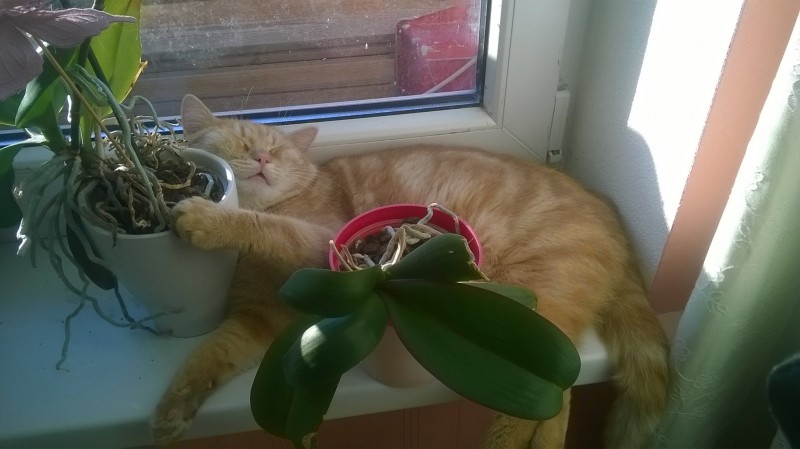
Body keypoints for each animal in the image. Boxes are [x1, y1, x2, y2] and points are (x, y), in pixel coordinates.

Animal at [152, 94, 669, 448]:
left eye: (277, 152)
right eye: (241, 144)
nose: (262, 159)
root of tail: (611, 215)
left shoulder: (320, 243)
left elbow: (266, 227)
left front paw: (206, 219)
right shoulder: (259, 320)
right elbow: (211, 354)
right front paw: (172, 411)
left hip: (532, 306)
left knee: (548, 393)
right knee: (560, 396)